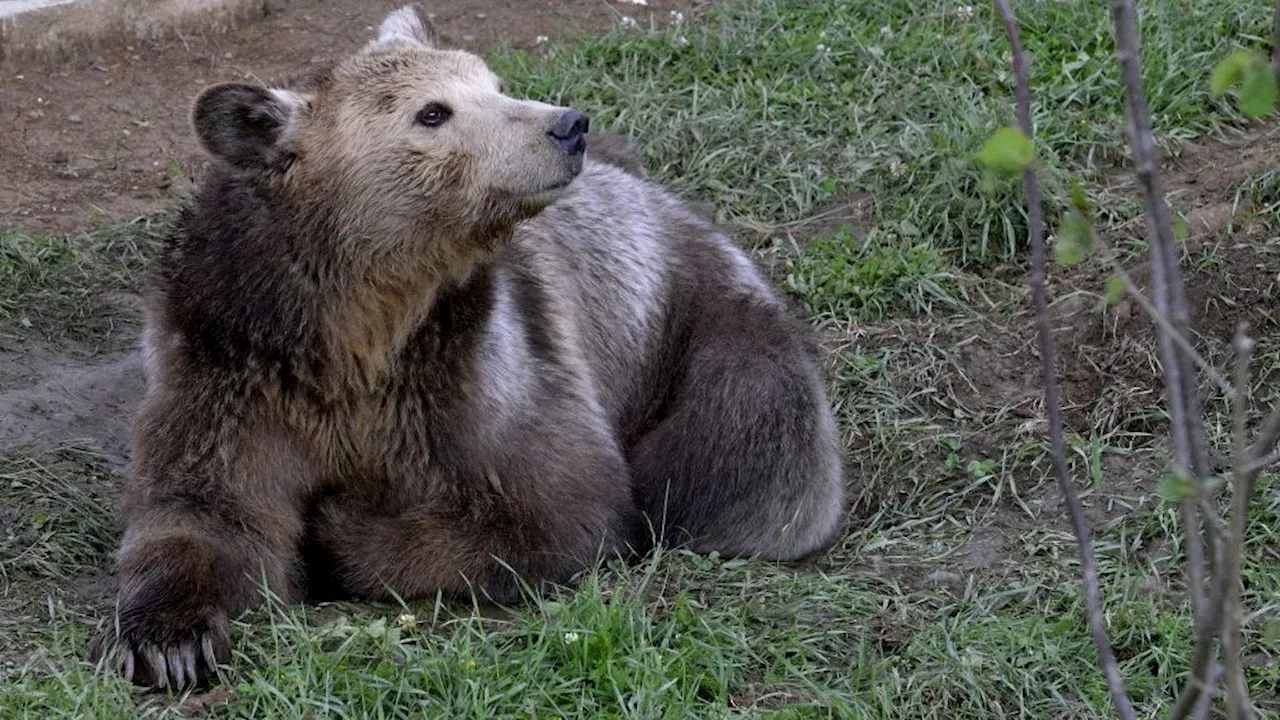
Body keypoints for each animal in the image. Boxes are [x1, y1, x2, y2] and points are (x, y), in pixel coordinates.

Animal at [92, 5, 849, 691]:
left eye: (493, 82)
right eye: (433, 112)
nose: (567, 125)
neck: (354, 323)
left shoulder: (471, 367)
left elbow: (553, 505)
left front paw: (341, 525)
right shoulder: (228, 361)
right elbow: (202, 509)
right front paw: (171, 642)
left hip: (705, 328)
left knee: (749, 455)